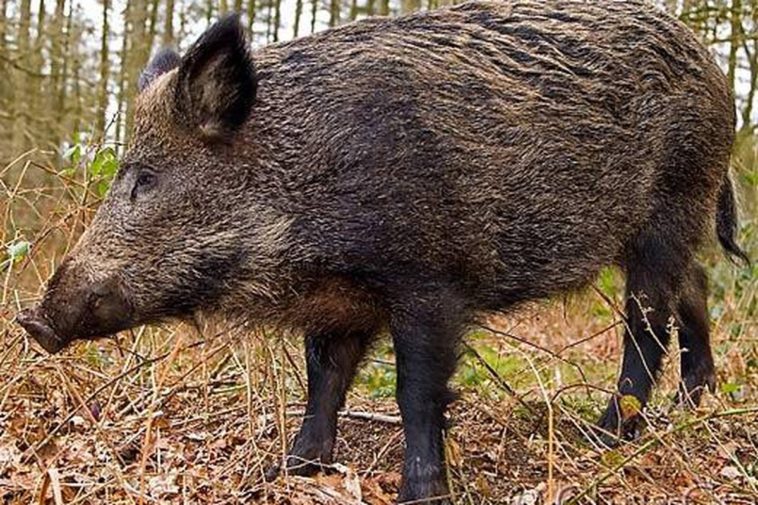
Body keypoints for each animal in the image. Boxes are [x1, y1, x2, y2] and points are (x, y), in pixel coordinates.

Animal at [17, 1, 749, 502]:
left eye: (145, 179)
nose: (32, 318)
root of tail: (715, 70)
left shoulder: (430, 281)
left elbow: (414, 391)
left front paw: (419, 493)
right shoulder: (337, 303)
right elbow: (323, 382)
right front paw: (291, 469)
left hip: (669, 208)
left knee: (647, 323)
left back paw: (601, 435)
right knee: (696, 287)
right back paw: (692, 404)